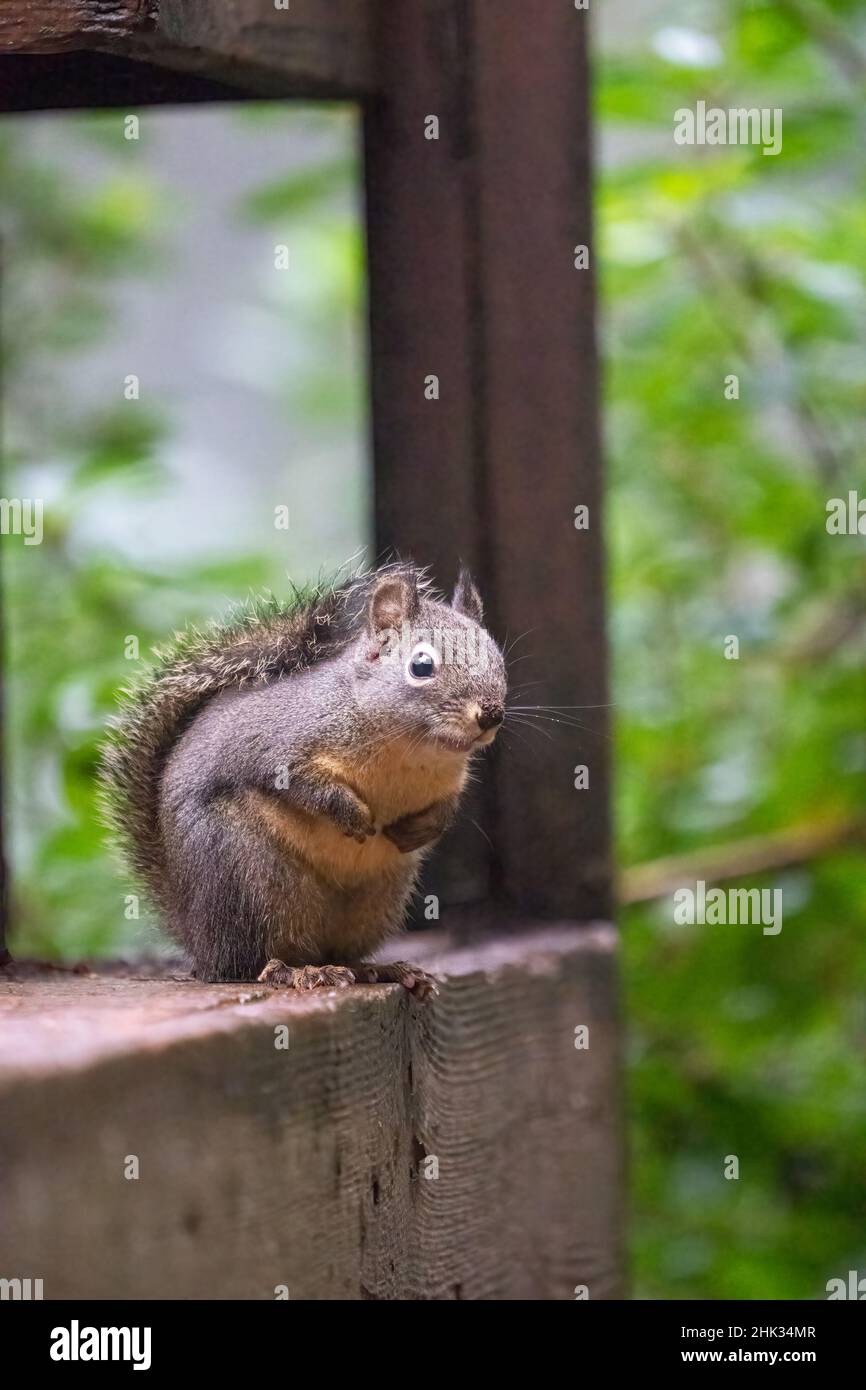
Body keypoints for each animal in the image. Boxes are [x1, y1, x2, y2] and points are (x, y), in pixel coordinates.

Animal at [99, 561, 506, 999]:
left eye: (497, 658)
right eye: (422, 666)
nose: (491, 713)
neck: (411, 750)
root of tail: (193, 930)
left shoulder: (451, 781)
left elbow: (446, 807)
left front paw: (422, 829)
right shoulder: (279, 750)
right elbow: (304, 786)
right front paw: (352, 815)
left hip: (376, 897)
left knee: (338, 952)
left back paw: (376, 969)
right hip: (247, 876)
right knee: (245, 963)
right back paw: (295, 972)